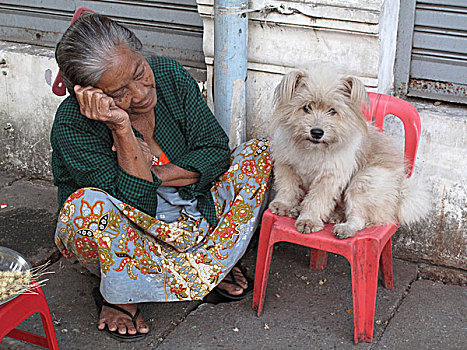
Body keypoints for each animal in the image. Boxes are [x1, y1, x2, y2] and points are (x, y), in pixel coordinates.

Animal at [268, 67, 430, 238]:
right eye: (306, 108)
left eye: (332, 111)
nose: (317, 132)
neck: (313, 149)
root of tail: (399, 192)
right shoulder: (287, 166)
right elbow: (288, 188)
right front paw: (284, 204)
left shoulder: (328, 177)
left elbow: (317, 200)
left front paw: (309, 220)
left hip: (364, 181)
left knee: (359, 219)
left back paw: (344, 228)